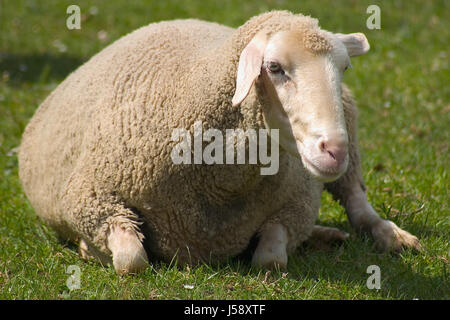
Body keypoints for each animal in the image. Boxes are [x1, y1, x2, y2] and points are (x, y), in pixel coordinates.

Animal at [17, 11, 420, 274]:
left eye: (344, 68)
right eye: (274, 68)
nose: (335, 150)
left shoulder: (298, 203)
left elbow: (271, 259)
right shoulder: (89, 198)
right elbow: (132, 262)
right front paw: (89, 249)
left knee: (357, 201)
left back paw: (389, 236)